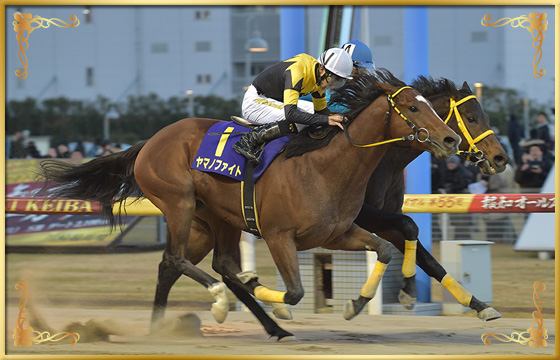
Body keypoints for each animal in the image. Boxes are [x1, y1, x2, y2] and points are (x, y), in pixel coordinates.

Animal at [38, 69, 460, 338]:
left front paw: (356, 303)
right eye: (414, 108)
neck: (324, 167)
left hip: (215, 220)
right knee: (180, 260)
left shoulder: (337, 233)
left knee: (191, 265)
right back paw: (222, 303)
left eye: (431, 105)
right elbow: (294, 292)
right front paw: (274, 299)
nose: (451, 140)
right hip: (179, 203)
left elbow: (385, 249)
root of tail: (150, 141)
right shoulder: (278, 236)